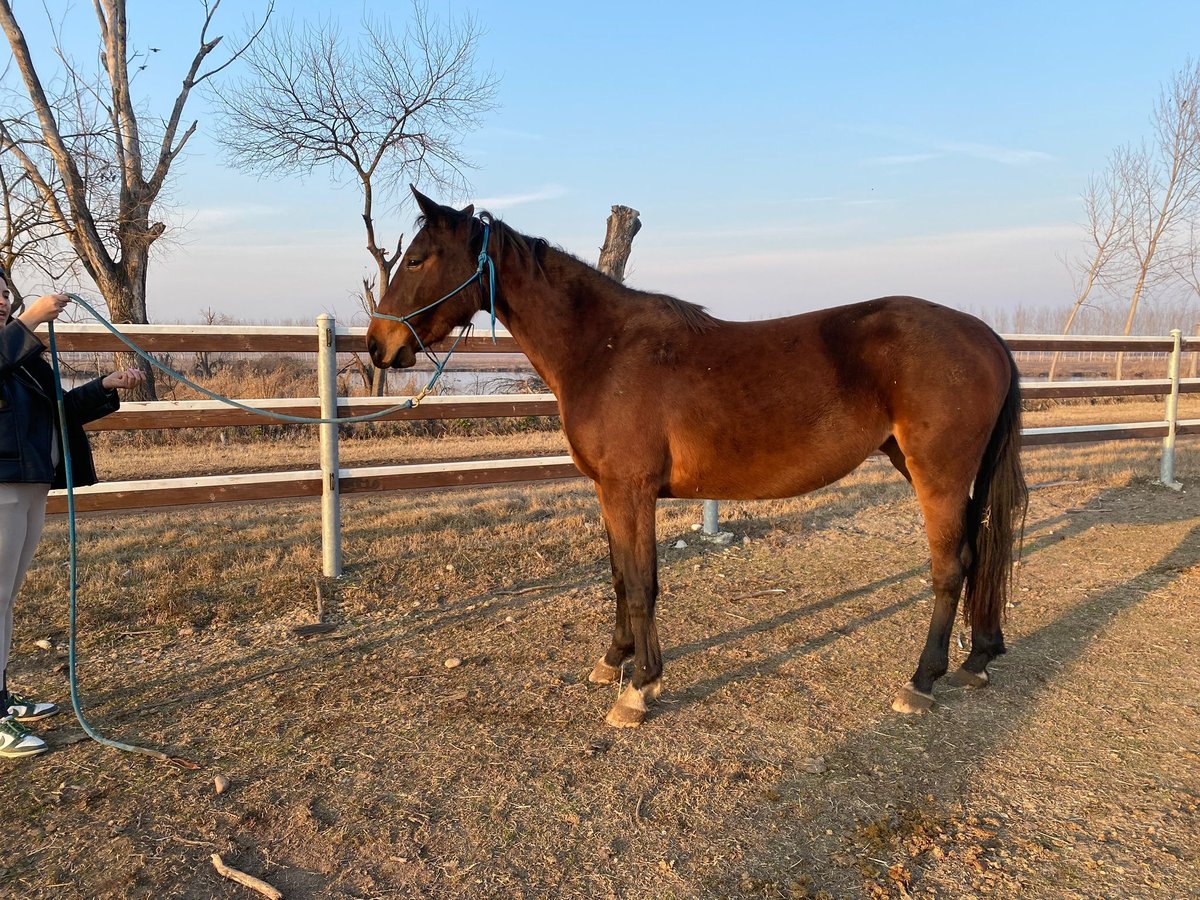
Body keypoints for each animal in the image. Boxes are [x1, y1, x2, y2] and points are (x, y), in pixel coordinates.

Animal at [369, 187, 1027, 729]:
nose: (379, 346)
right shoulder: (610, 490)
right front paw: (613, 661)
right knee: (977, 554)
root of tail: (987, 336)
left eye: (419, 259)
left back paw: (921, 680)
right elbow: (618, 577)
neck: (603, 350)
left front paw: (639, 687)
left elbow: (641, 584)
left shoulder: (630, 489)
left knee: (951, 568)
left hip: (937, 475)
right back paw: (977, 657)